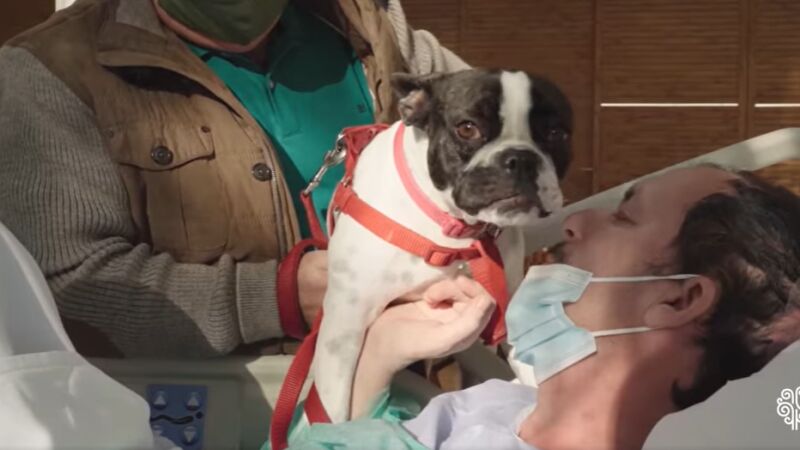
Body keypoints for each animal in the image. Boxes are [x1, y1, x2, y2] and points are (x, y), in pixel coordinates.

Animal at [313, 68, 573, 422]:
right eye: (467, 128)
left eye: (556, 133)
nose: (520, 158)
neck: (451, 225)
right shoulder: (343, 328)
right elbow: (331, 404)